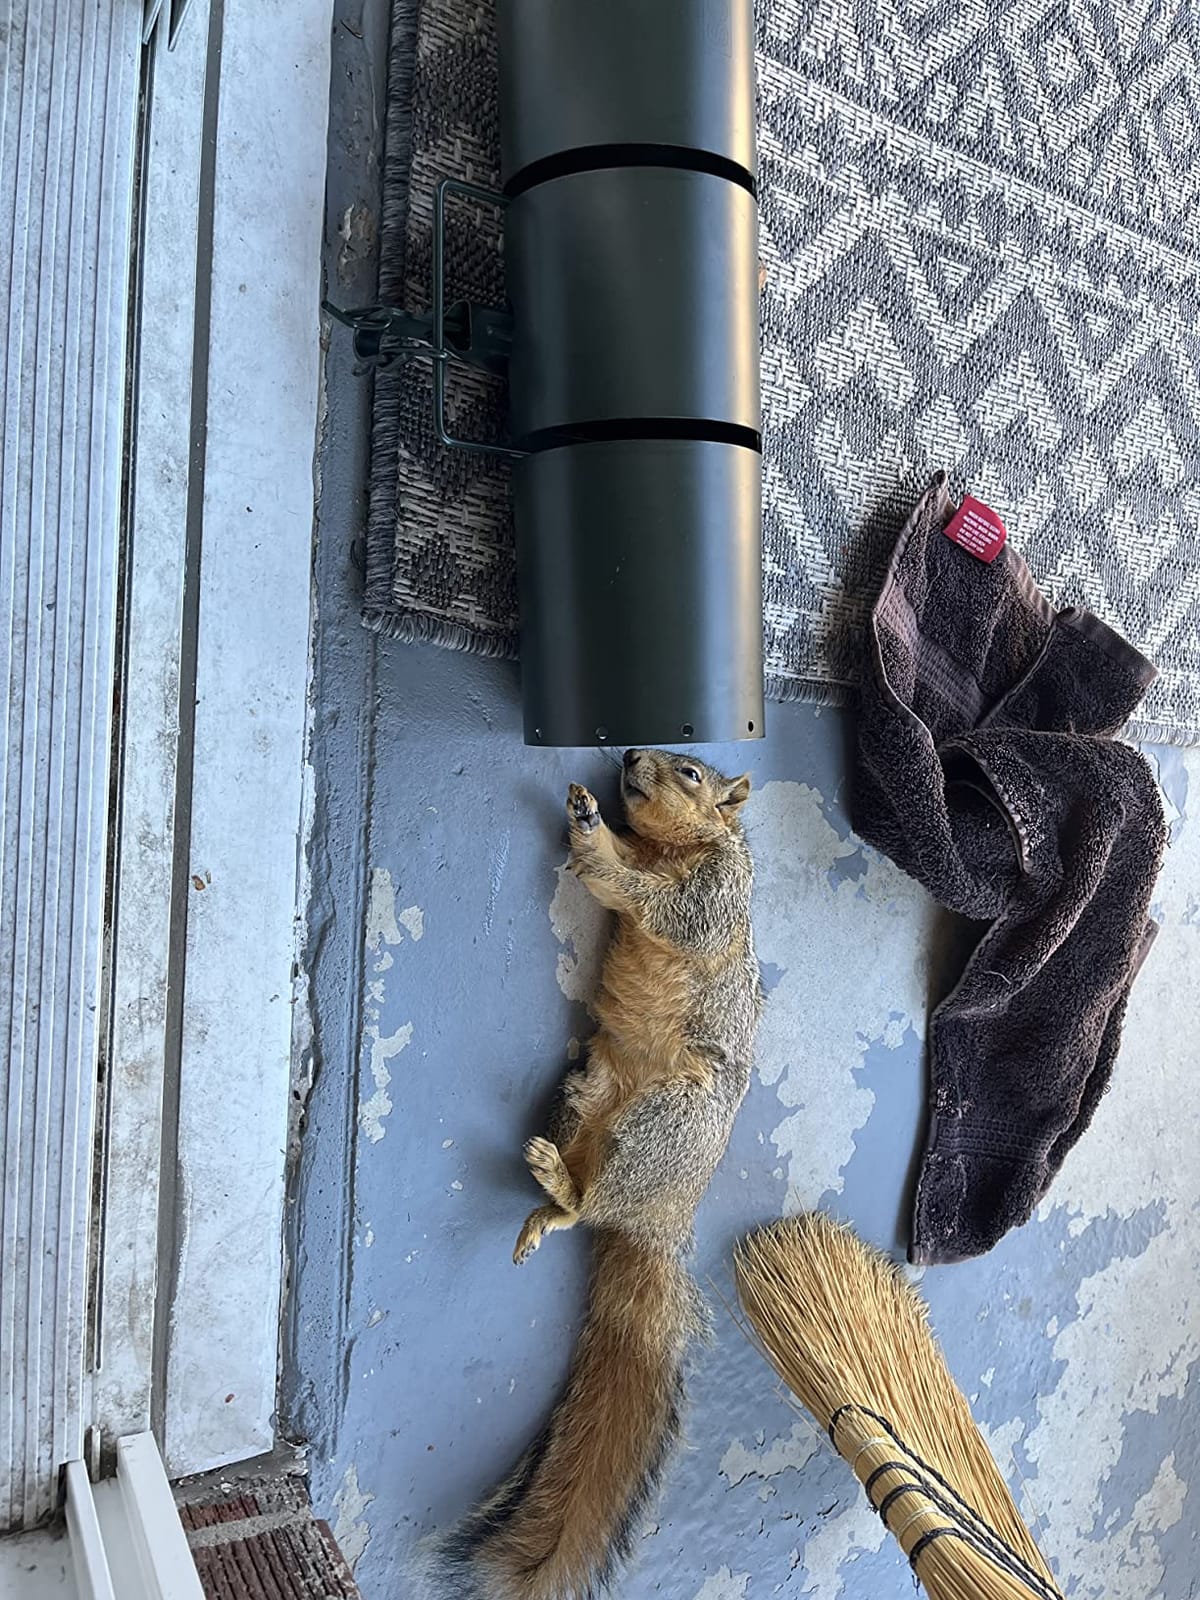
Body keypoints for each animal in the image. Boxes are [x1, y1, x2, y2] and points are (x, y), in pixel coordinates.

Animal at [431, 747, 763, 1600]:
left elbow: (661, 908)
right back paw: (546, 1200)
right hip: (586, 1086)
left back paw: (564, 1192)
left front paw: (594, 842)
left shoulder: (715, 898)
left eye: (690, 771)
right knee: (575, 1193)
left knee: (591, 1206)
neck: (669, 848)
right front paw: (592, 816)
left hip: (659, 1127)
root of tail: (658, 1220)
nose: (629, 758)